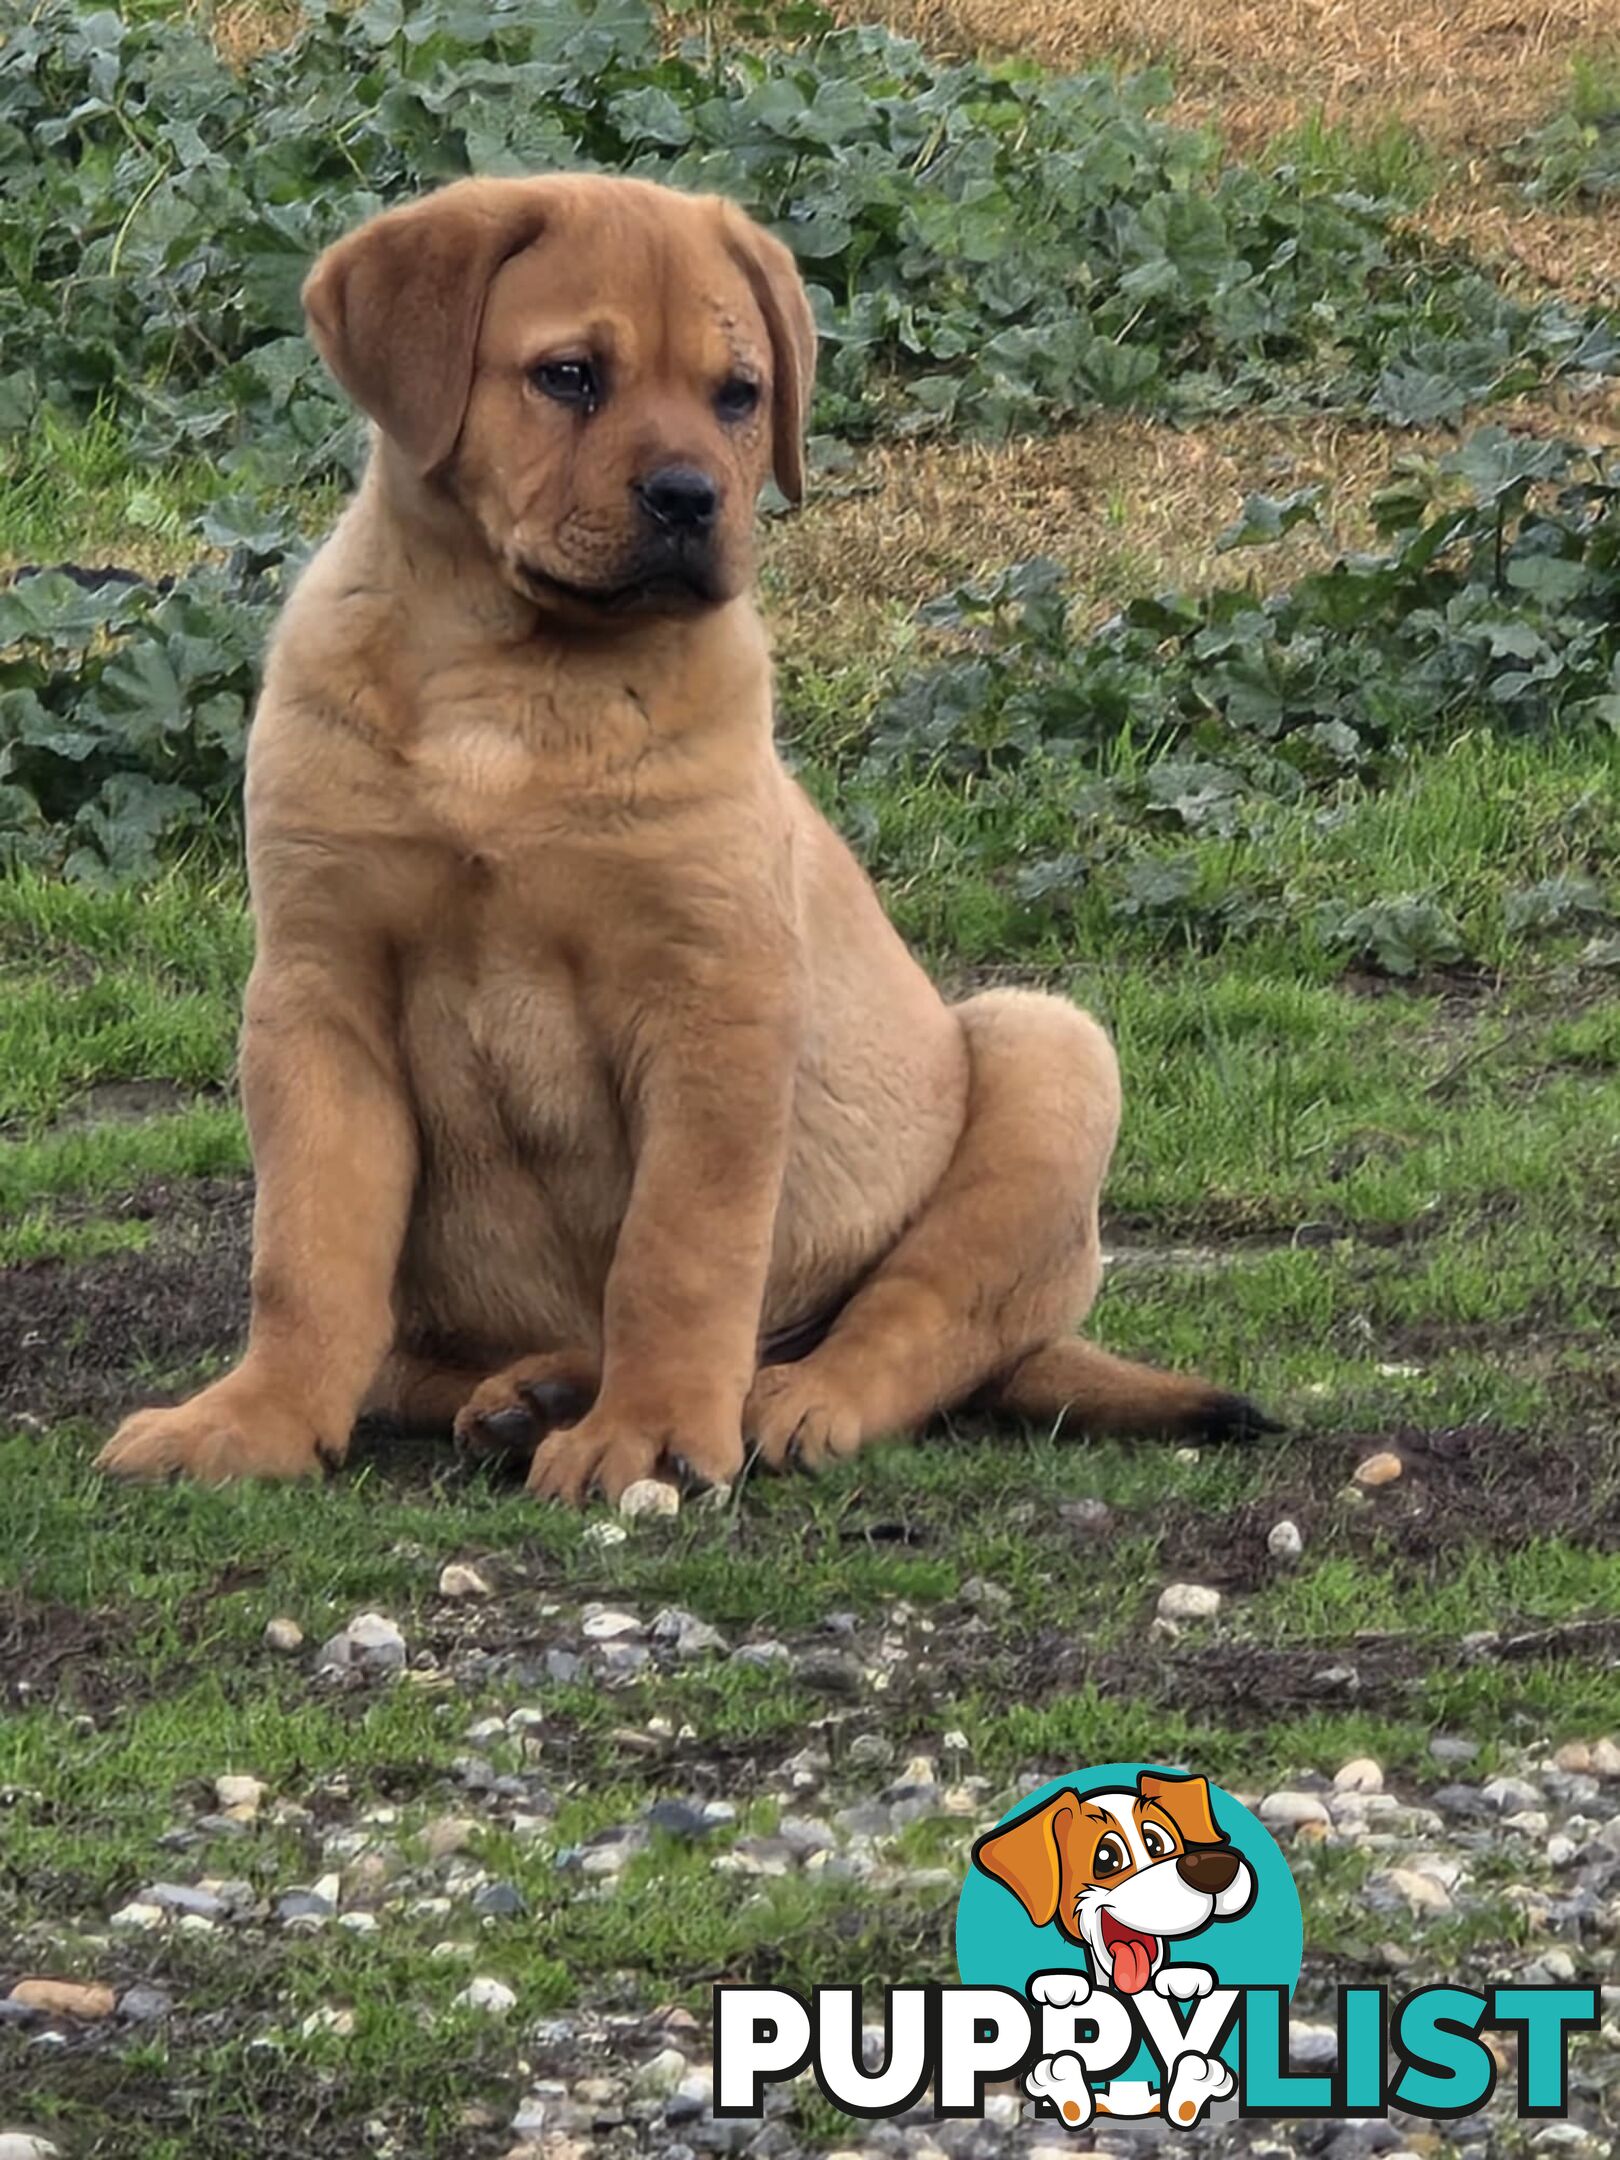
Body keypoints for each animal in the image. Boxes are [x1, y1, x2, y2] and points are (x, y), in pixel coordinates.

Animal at [98, 177, 1278, 1503]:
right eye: (569, 376)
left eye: (738, 394)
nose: (688, 499)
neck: (517, 685)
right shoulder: (318, 990)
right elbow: (305, 1250)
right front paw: (254, 1421)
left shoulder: (714, 995)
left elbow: (681, 1248)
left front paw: (655, 1431)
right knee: (422, 1357)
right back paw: (533, 1390)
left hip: (1047, 1051)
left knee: (913, 1321)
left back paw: (789, 1398)